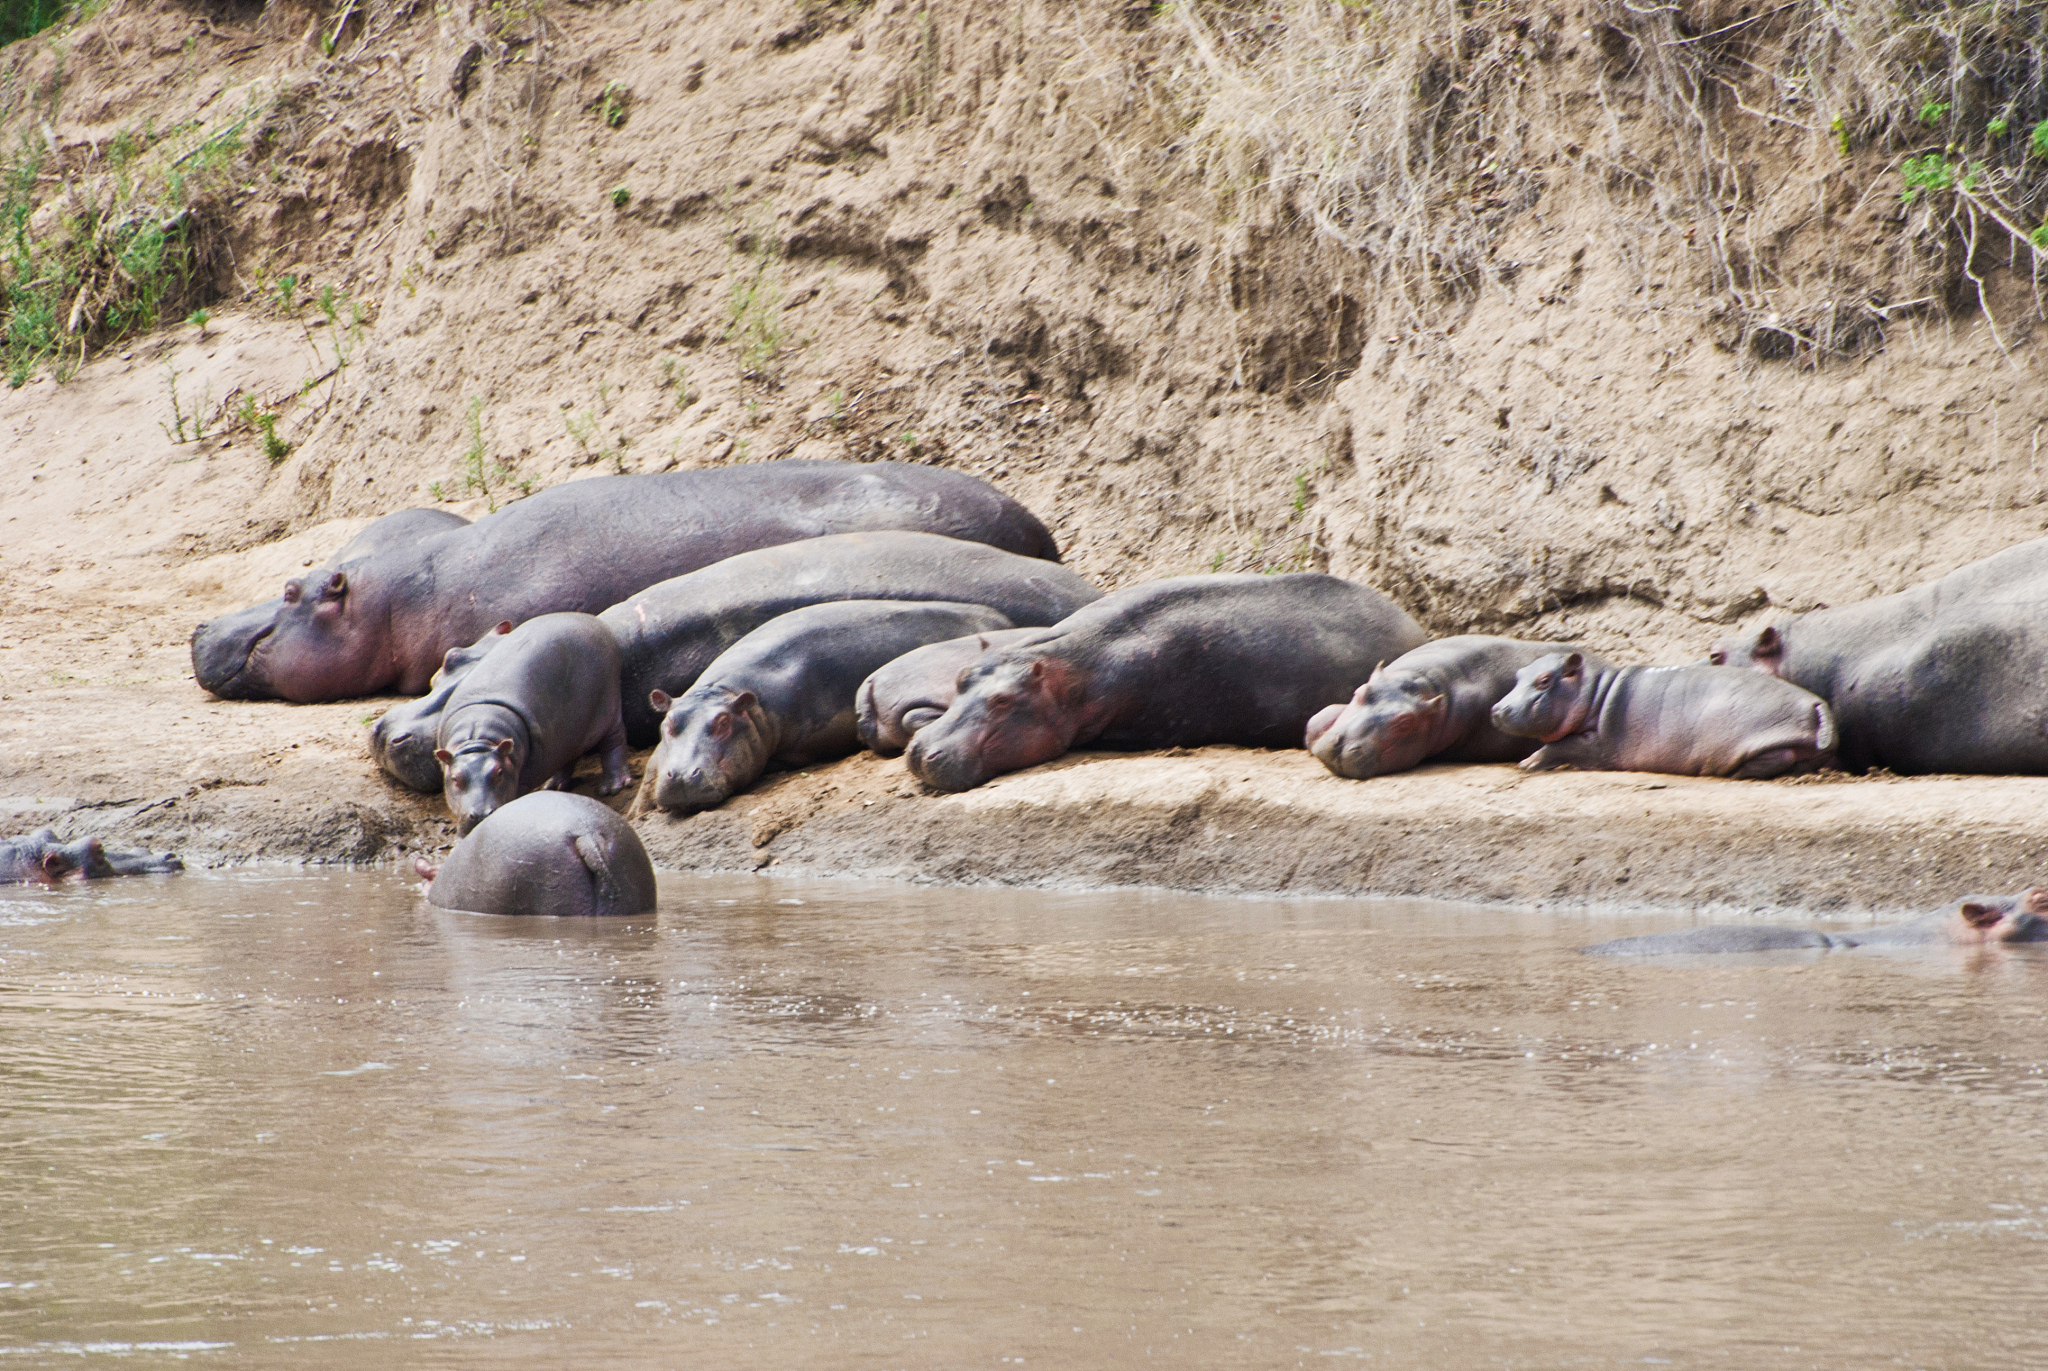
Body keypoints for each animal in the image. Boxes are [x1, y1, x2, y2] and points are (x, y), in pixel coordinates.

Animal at [433, 614, 632, 835]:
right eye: (455, 779)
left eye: (499, 772)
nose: (481, 815)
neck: (478, 738)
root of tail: (595, 621)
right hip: (566, 733)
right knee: (567, 757)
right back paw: (553, 786)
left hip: (608, 708)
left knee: (614, 741)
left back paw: (612, 787)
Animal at [1488, 652, 1836, 779]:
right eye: (1518, 674)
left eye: (1545, 680)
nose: (1497, 708)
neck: (1596, 691)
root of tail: (1814, 704)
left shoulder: (1596, 745)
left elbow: (1558, 745)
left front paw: (1527, 763)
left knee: (1776, 757)